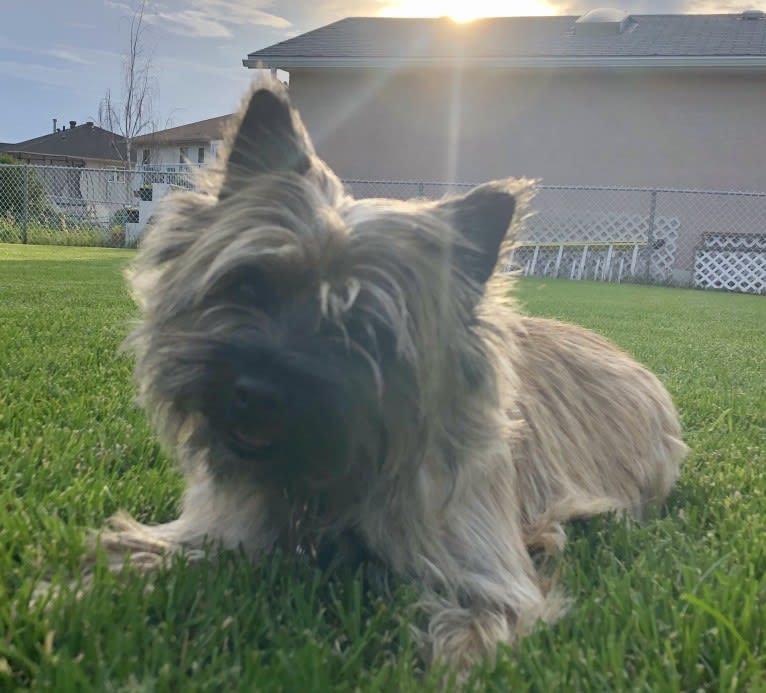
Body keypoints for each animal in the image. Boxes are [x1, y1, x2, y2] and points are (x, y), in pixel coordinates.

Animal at [99, 78, 692, 668]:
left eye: (363, 329)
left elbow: (469, 631)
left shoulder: (482, 572)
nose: (257, 392)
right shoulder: (219, 528)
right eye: (248, 285)